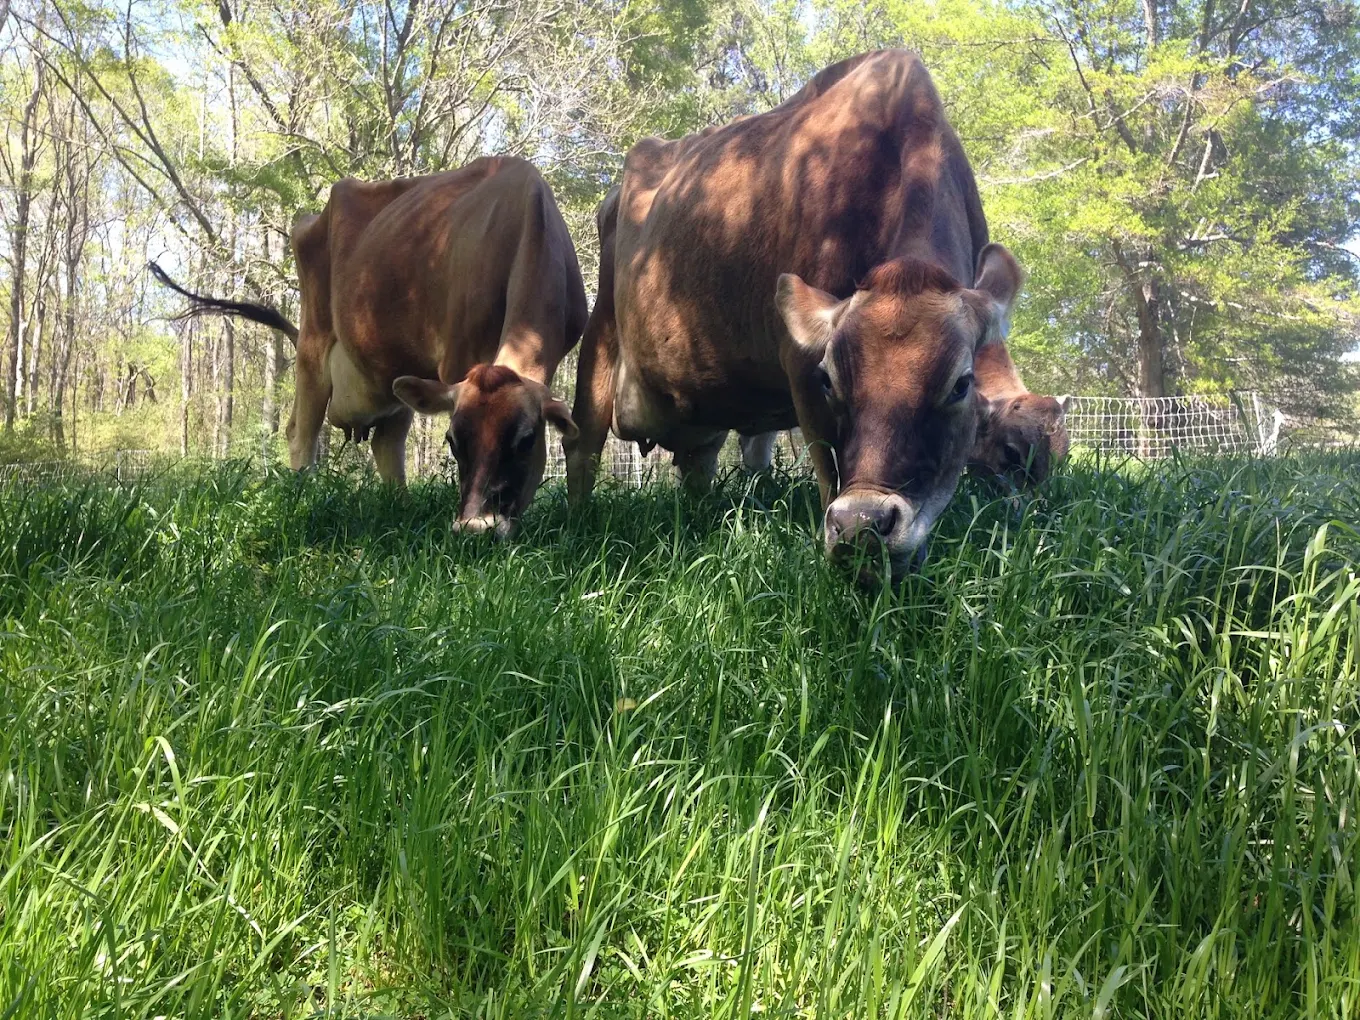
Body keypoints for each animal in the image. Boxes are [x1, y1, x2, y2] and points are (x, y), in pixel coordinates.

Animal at [151, 156, 586, 537]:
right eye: (452, 441)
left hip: (392, 367)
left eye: (526, 439)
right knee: (301, 432)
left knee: (385, 443)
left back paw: (401, 507)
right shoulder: (458, 359)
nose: (475, 528)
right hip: (314, 341)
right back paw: (302, 502)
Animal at [565, 50, 1066, 582]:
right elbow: (827, 464)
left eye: (960, 385)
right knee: (583, 448)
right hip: (602, 329)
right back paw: (578, 529)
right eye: (830, 380)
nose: (864, 523)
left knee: (700, 465)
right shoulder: (799, 365)